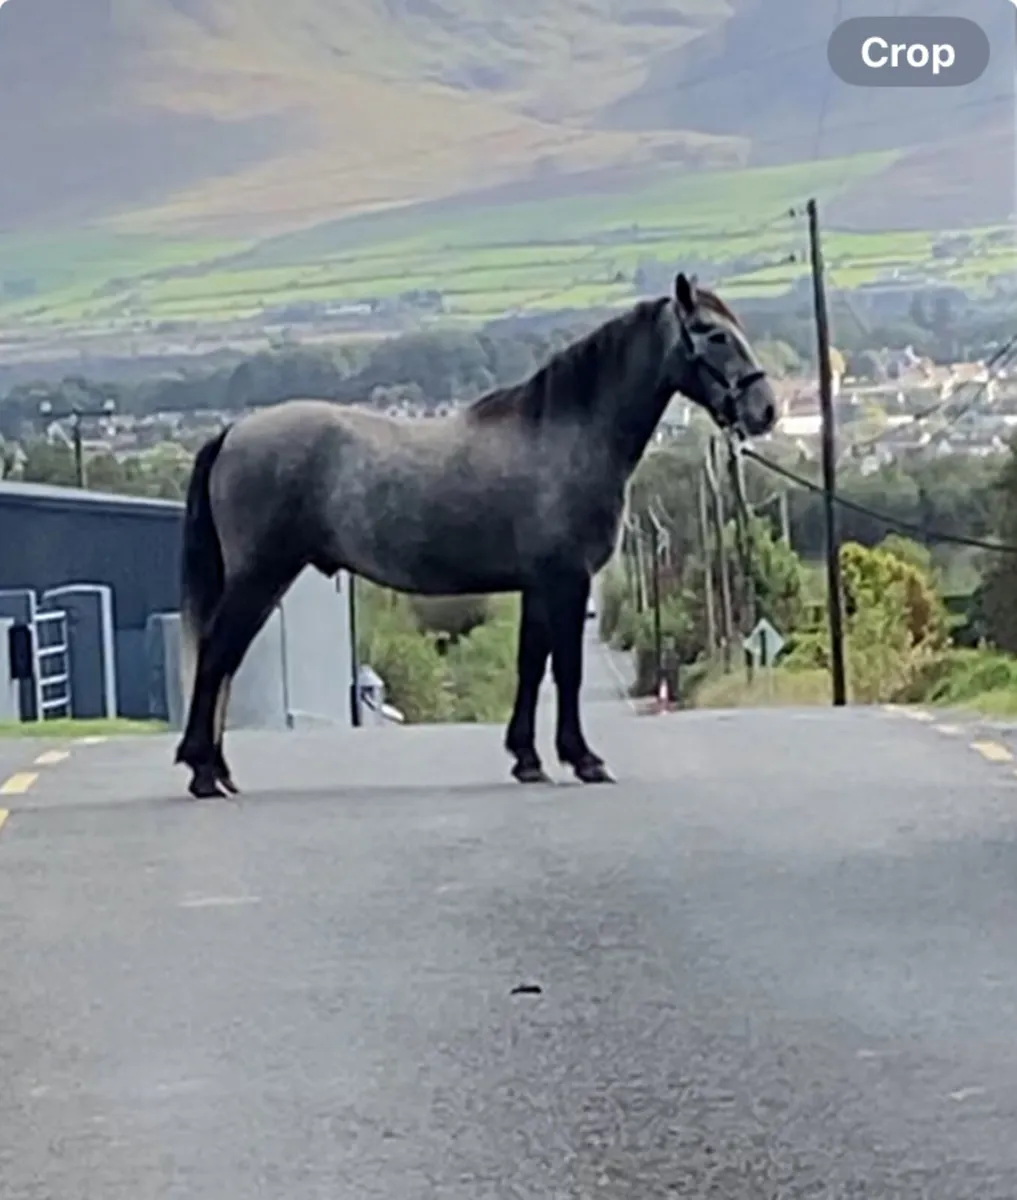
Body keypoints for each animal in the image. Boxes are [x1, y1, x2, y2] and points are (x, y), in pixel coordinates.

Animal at [174, 273, 777, 799]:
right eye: (714, 334)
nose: (764, 410)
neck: (565, 436)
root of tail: (232, 433)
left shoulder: (539, 587)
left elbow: (532, 667)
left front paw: (528, 760)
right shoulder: (566, 581)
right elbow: (567, 671)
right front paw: (583, 759)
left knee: (224, 662)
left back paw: (218, 772)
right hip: (260, 576)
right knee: (217, 657)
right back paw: (204, 773)